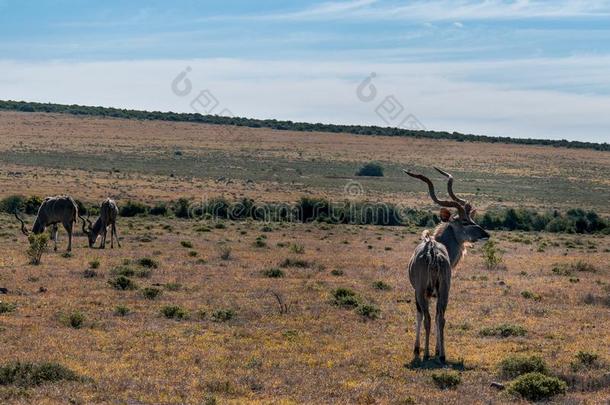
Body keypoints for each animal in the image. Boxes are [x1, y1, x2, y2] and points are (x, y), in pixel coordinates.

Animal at [404, 166, 490, 362]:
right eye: (465, 221)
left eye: (471, 219)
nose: (486, 234)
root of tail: (433, 253)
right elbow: (437, 317)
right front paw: (436, 350)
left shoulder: (418, 291)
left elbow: (420, 316)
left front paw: (418, 349)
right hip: (444, 289)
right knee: (440, 317)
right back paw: (442, 355)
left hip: (423, 291)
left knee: (428, 317)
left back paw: (427, 354)